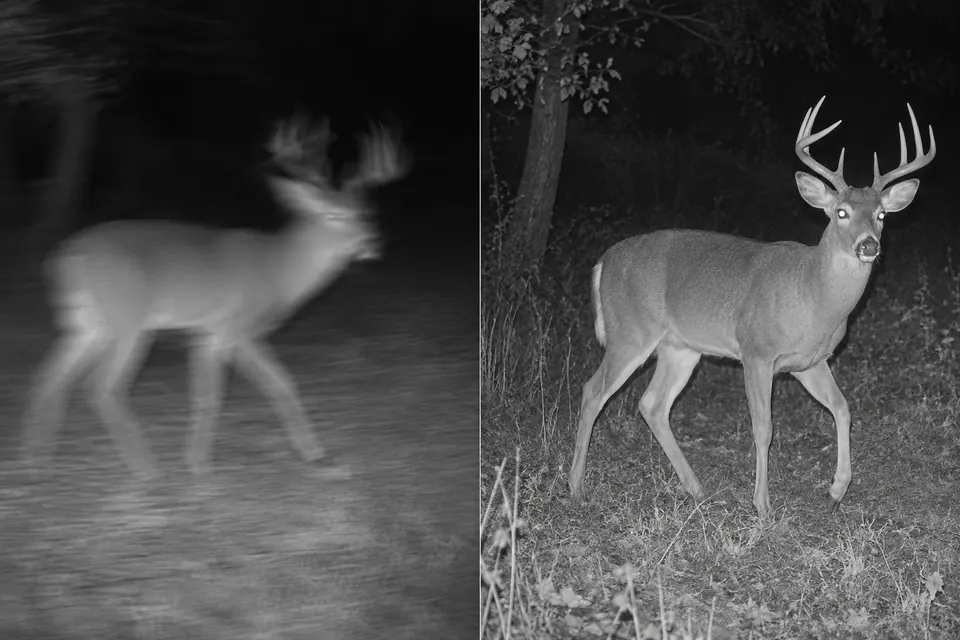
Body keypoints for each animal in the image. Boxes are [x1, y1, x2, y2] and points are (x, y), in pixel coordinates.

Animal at [21, 113, 408, 480]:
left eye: (365, 214)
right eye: (333, 215)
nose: (374, 244)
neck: (279, 269)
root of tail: (67, 258)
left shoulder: (205, 330)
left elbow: (209, 394)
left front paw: (197, 461)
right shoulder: (238, 325)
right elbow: (270, 384)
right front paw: (313, 456)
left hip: (84, 320)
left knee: (49, 376)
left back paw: (37, 460)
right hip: (127, 318)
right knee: (100, 386)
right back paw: (146, 469)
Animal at [568, 96, 936, 515]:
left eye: (881, 215)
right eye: (841, 212)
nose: (868, 245)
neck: (814, 297)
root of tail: (603, 262)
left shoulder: (810, 361)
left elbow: (843, 409)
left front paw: (836, 490)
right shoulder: (756, 352)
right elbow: (764, 428)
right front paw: (763, 504)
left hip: (680, 348)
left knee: (652, 404)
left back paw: (697, 489)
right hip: (630, 332)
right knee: (593, 391)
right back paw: (576, 488)